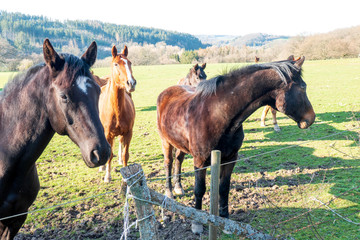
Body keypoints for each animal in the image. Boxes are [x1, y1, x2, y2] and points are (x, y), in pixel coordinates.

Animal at [157, 55, 316, 232]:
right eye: (303, 87)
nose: (311, 118)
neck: (217, 114)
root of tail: (167, 91)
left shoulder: (230, 158)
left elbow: (223, 188)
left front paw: (225, 219)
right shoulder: (200, 161)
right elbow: (199, 190)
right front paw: (197, 222)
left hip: (180, 145)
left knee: (178, 160)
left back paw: (178, 187)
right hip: (166, 142)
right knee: (169, 163)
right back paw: (169, 192)